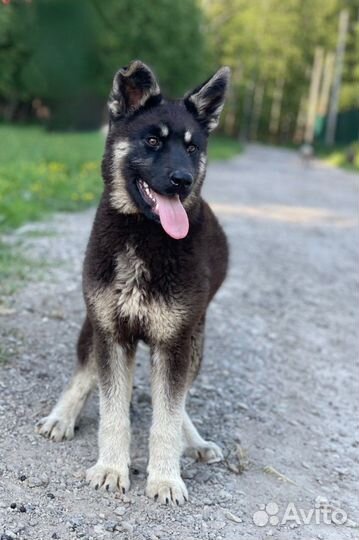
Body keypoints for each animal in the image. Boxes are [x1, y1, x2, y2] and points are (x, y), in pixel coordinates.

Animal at [37, 61, 231, 504]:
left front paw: (165, 478)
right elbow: (112, 412)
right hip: (95, 328)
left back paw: (195, 442)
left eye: (192, 147)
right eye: (152, 140)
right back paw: (62, 416)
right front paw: (111, 468)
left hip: (194, 341)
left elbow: (167, 418)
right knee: (86, 376)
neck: (144, 235)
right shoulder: (111, 334)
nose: (183, 179)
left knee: (177, 403)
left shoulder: (175, 343)